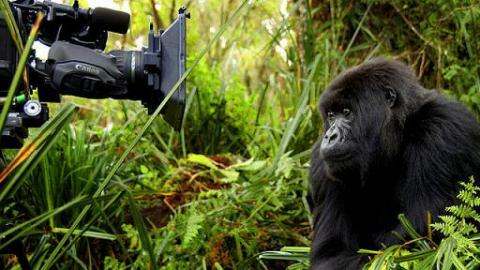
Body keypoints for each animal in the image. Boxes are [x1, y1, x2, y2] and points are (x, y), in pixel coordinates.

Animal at [310, 58, 480, 268]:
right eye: (331, 115)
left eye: (346, 112)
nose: (330, 136)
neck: (402, 129)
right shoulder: (320, 164)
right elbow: (329, 254)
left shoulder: (445, 129)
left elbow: (421, 237)